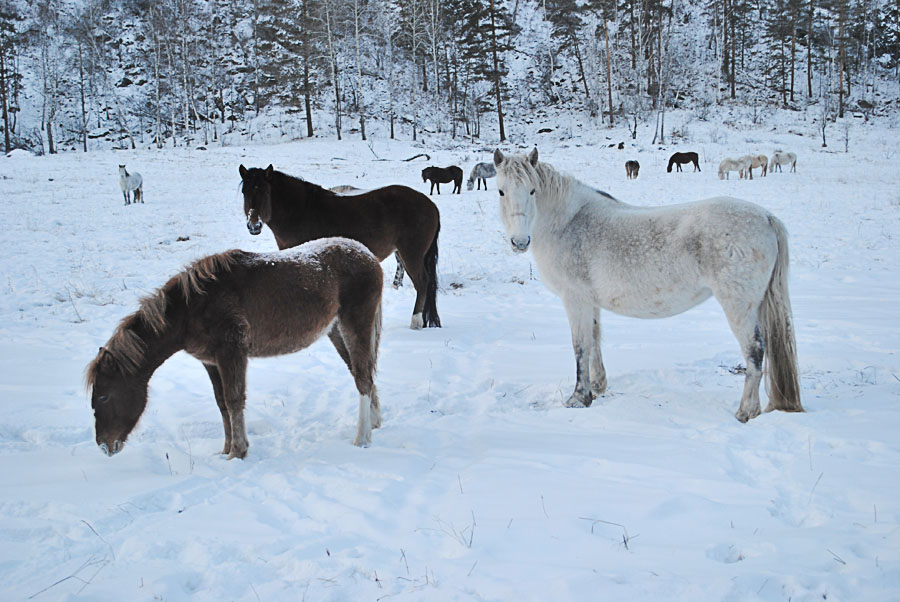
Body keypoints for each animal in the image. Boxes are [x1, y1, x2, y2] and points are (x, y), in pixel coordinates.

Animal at [88, 237, 386, 458]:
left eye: (104, 396)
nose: (105, 446)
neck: (192, 308)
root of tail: (368, 256)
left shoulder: (232, 353)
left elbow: (234, 400)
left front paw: (239, 451)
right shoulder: (211, 361)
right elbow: (221, 404)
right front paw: (226, 450)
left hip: (354, 325)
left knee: (362, 378)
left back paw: (362, 438)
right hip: (336, 332)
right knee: (365, 375)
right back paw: (375, 423)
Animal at [241, 164, 442, 328]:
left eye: (264, 191)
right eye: (245, 192)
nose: (253, 225)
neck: (301, 211)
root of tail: (430, 205)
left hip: (411, 254)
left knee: (423, 283)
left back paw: (416, 321)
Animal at [492, 149, 800, 422]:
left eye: (533, 190)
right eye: (501, 192)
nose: (520, 242)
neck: (569, 222)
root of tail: (766, 217)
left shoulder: (575, 299)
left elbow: (580, 346)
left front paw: (579, 398)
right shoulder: (590, 302)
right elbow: (595, 339)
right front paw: (598, 387)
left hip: (739, 306)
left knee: (755, 351)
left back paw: (746, 412)